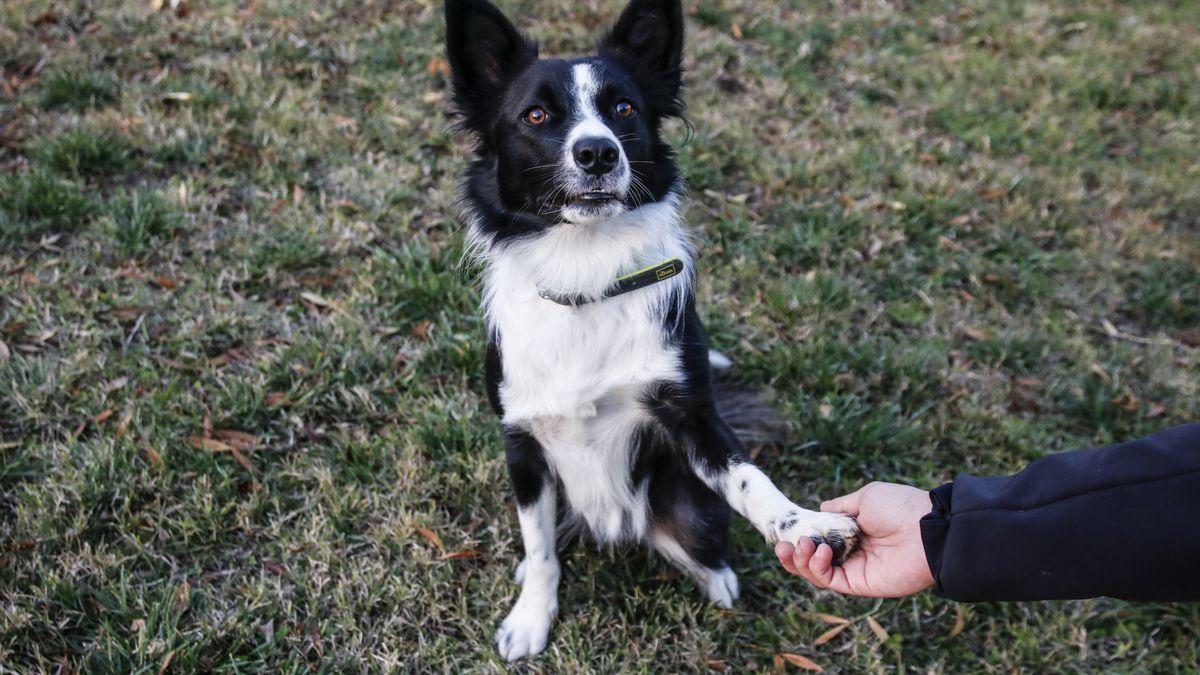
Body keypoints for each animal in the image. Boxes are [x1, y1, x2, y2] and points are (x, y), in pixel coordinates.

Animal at [446, 0, 859, 658]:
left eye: (623, 109)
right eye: (536, 115)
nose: (597, 153)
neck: (586, 275)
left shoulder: (690, 416)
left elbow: (749, 480)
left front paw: (805, 526)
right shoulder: (522, 443)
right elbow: (539, 545)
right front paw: (531, 617)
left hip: (685, 506)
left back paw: (717, 578)